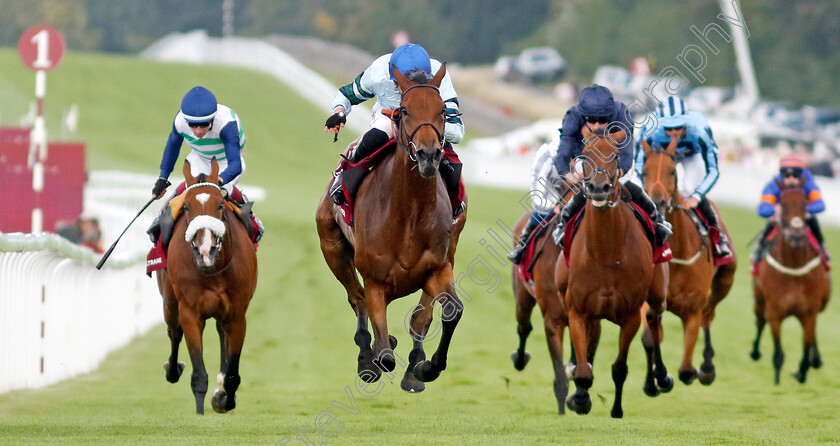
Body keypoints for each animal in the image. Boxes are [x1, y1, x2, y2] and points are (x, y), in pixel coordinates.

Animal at [157, 159, 256, 412]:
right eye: (187, 207)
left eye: (220, 205)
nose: (205, 251)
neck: (213, 270)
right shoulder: (190, 312)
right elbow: (199, 374)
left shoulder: (237, 314)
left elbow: (232, 373)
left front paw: (224, 397)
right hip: (169, 302)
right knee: (174, 332)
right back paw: (172, 370)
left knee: (221, 333)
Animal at [318, 64, 470, 392]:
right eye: (404, 110)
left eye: (443, 111)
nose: (428, 155)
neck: (409, 212)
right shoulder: (375, 279)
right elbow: (384, 351)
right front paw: (376, 355)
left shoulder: (437, 267)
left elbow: (447, 312)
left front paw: (425, 367)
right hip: (332, 247)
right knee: (357, 298)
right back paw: (367, 359)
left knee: (419, 317)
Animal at [556, 128, 668, 418]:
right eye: (585, 154)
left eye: (615, 155)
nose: (598, 188)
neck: (607, 254)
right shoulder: (578, 311)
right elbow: (584, 369)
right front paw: (579, 398)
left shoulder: (630, 316)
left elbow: (619, 368)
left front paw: (616, 409)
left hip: (657, 295)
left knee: (654, 320)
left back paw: (661, 377)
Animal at [644, 139, 736, 384]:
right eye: (644, 171)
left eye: (672, 171)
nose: (657, 202)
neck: (675, 254)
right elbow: (649, 337)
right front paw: (654, 380)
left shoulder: (692, 309)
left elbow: (686, 371)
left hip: (725, 281)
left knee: (709, 313)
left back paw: (707, 366)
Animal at [752, 177, 832, 384]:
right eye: (784, 205)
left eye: (804, 205)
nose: (796, 234)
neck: (794, 266)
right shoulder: (774, 312)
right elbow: (778, 355)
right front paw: (777, 382)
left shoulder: (809, 312)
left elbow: (806, 348)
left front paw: (802, 371)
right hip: (759, 299)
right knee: (759, 321)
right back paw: (755, 351)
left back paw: (816, 359)